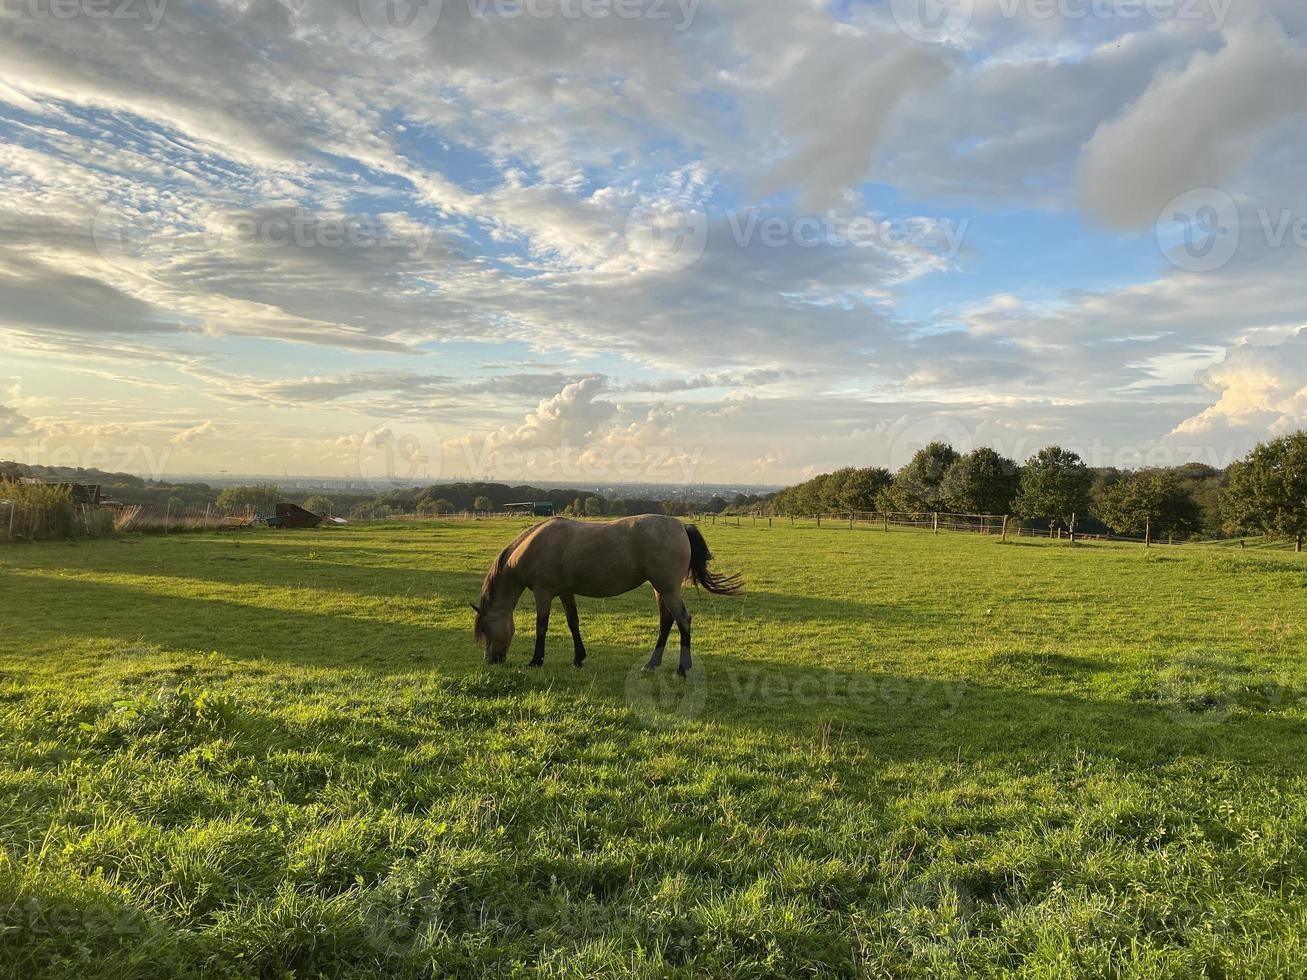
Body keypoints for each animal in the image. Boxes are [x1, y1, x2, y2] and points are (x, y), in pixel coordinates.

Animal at [470, 514, 742, 674]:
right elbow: (573, 623)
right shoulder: (566, 592)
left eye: (484, 629)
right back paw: (651, 664)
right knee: (667, 622)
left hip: (668, 589)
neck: (534, 546)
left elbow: (541, 626)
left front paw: (536, 660)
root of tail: (682, 526)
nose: (491, 660)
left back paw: (682, 669)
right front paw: (578, 658)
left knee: (683, 621)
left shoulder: (543, 593)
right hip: (661, 589)